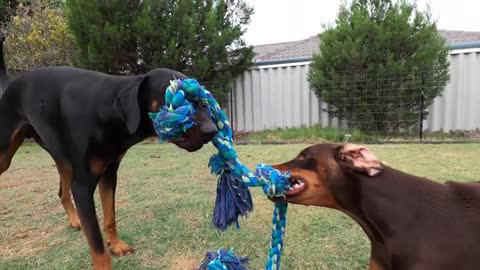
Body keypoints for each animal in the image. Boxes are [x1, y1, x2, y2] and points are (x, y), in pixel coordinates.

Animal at [0, 65, 218, 268]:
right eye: (176, 100)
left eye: (201, 100)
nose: (212, 131)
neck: (109, 113)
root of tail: (10, 83)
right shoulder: (82, 187)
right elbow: (97, 245)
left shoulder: (109, 174)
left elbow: (110, 218)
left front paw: (116, 245)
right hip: (5, 156)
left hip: (62, 159)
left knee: (62, 191)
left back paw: (75, 219)